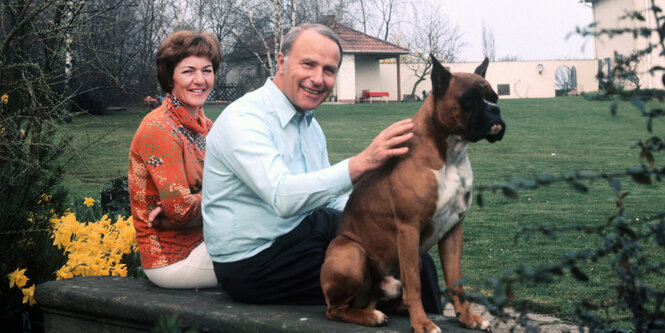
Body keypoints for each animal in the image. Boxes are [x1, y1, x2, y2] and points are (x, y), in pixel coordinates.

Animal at [320, 55, 504, 332]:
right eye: (470, 99)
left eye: (495, 97)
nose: (495, 110)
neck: (449, 154)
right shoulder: (408, 228)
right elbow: (414, 284)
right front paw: (423, 324)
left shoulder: (453, 229)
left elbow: (456, 280)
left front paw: (468, 317)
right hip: (350, 252)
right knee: (335, 310)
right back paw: (371, 316)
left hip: (413, 259)